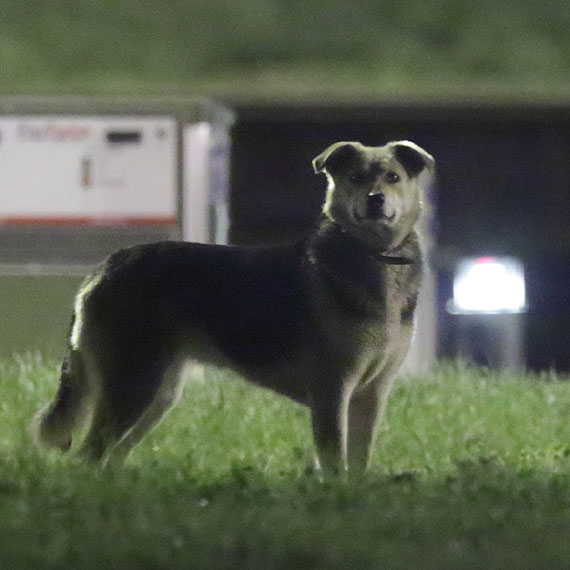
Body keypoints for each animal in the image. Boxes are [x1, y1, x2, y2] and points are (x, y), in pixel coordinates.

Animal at [37, 139, 432, 470]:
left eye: (393, 177)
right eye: (355, 177)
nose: (375, 199)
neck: (375, 256)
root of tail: (106, 266)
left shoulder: (371, 395)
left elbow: (359, 464)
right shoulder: (333, 391)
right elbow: (335, 462)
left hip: (158, 394)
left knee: (112, 456)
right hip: (133, 385)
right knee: (89, 456)